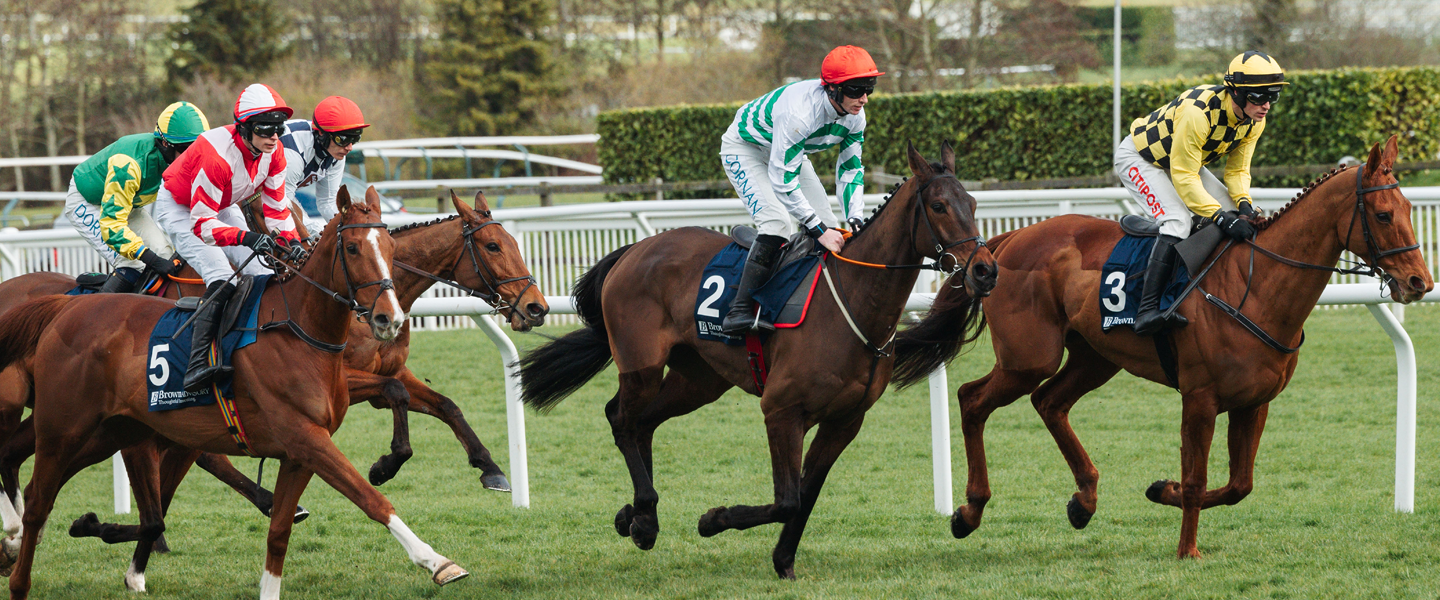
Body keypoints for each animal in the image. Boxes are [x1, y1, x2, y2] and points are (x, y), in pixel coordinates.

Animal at [0, 186, 468, 598]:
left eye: (389, 247)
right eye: (352, 249)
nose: (390, 318)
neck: (300, 331)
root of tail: (65, 308)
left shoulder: (299, 451)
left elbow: (278, 532)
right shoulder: (306, 437)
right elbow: (370, 498)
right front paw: (438, 562)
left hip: (108, 433)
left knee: (30, 476)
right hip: (63, 428)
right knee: (38, 499)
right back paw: (18, 569)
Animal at [518, 142, 997, 578]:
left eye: (973, 204)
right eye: (939, 205)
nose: (985, 270)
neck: (853, 303)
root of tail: (635, 249)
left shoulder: (844, 420)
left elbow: (806, 496)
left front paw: (783, 561)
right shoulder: (781, 409)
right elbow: (787, 499)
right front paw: (713, 520)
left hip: (699, 380)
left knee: (643, 423)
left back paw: (635, 515)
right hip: (642, 365)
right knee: (621, 418)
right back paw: (645, 517)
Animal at [889, 135, 1432, 559]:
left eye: (1409, 209)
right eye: (1384, 214)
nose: (1419, 282)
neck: (1256, 285)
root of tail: (1004, 243)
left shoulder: (1254, 402)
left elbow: (1239, 485)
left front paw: (1159, 489)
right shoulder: (1200, 398)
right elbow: (1198, 479)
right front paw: (1187, 549)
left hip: (1094, 356)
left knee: (1049, 402)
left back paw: (1083, 501)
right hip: (1029, 357)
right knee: (972, 399)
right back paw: (968, 511)